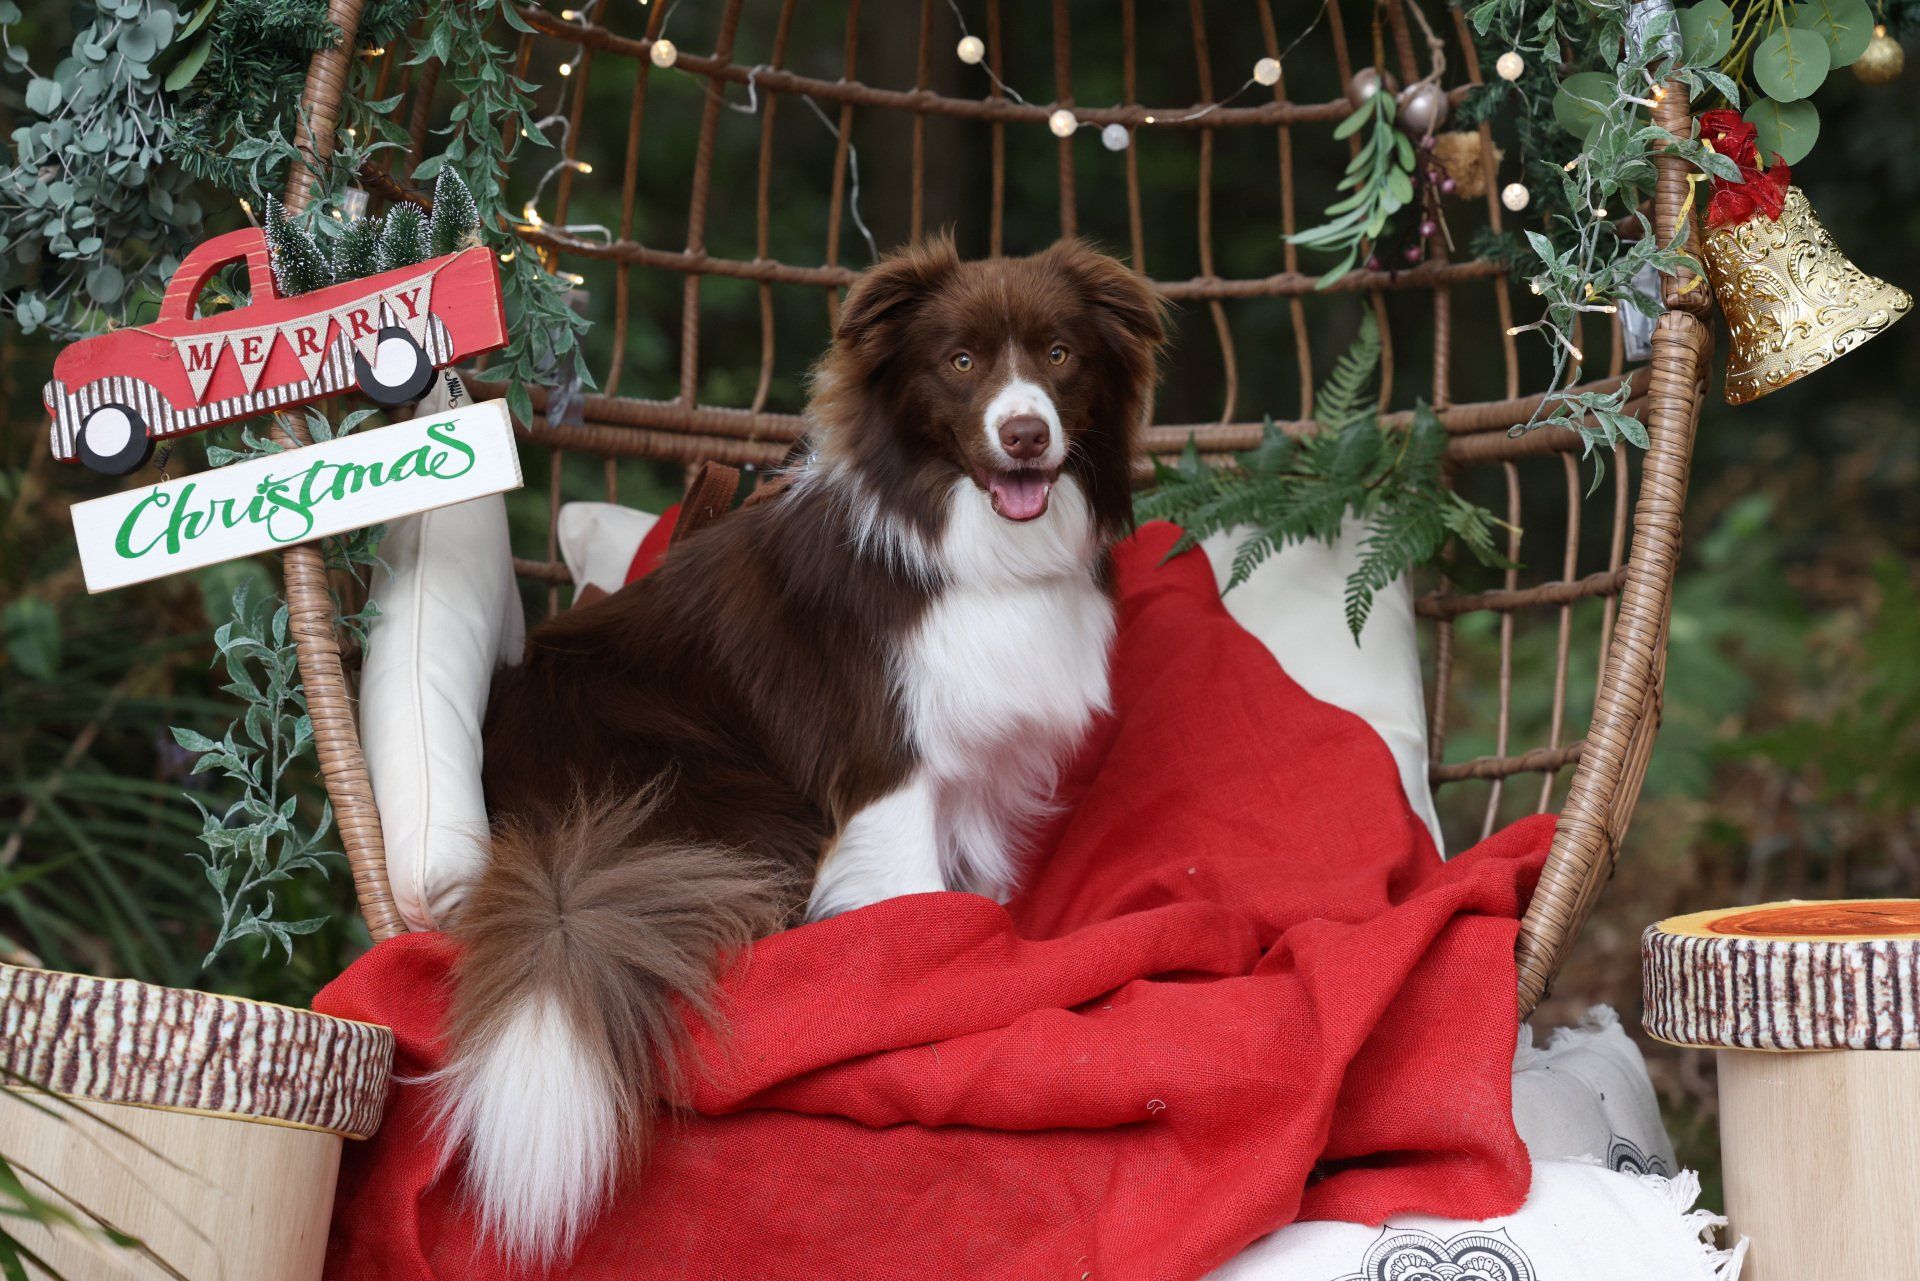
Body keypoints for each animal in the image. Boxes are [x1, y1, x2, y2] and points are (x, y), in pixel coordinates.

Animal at [447, 238, 1159, 1259]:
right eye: (961, 362)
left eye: (1061, 356)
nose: (1026, 434)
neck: (972, 547)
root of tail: (552, 841)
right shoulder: (885, 768)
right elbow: (918, 910)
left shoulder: (983, 769)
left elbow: (976, 892)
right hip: (737, 802)